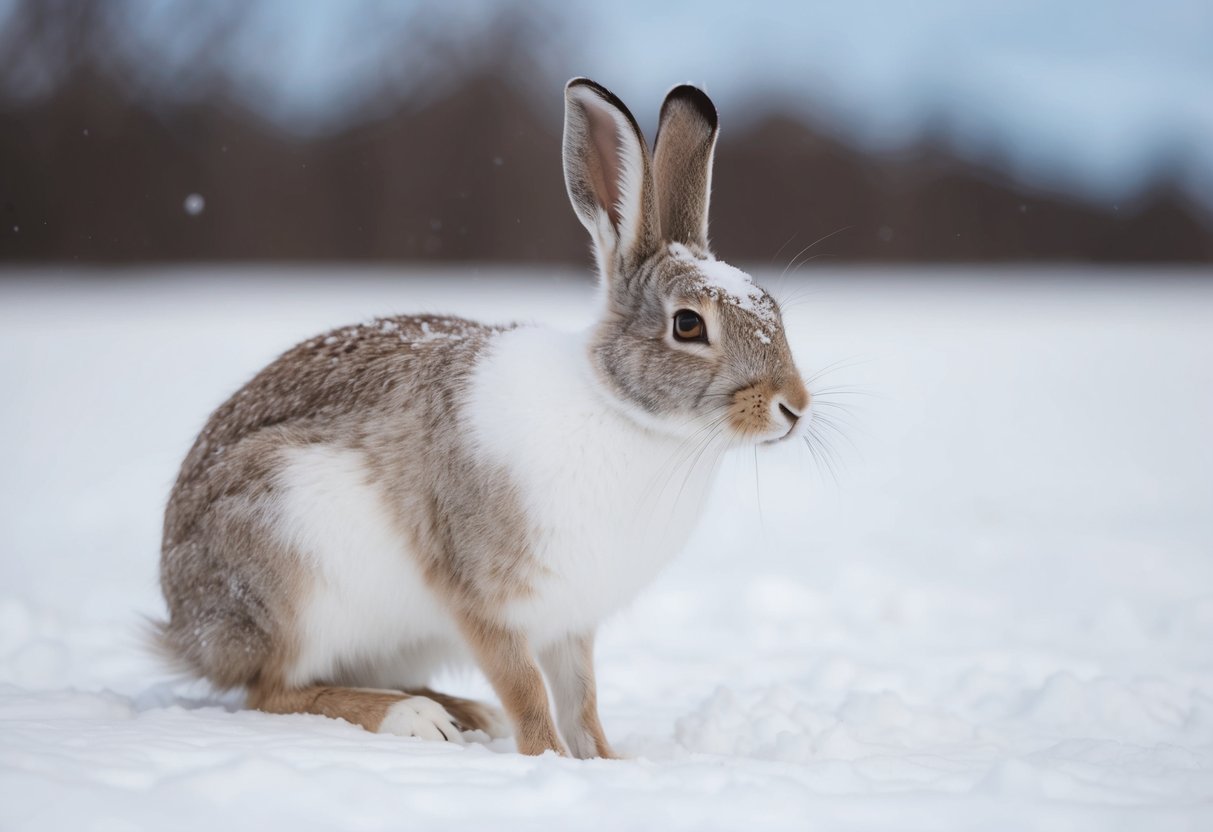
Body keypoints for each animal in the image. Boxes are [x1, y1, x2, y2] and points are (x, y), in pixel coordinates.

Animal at [156, 77, 810, 758]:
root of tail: (186, 629)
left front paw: (605, 760)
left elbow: (582, 698)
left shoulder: (571, 620)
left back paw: (463, 713)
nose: (794, 406)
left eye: (770, 306)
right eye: (688, 325)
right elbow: (525, 687)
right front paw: (548, 758)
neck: (621, 411)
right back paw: (413, 717)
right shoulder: (483, 597)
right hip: (294, 580)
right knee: (273, 690)